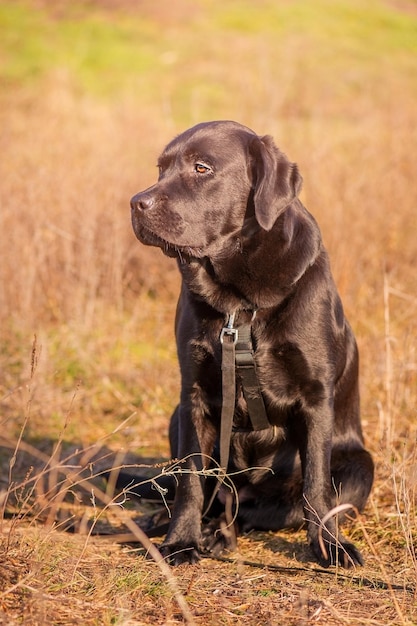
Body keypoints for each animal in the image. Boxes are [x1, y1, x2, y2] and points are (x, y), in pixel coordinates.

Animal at [128, 120, 372, 564]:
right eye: (161, 168)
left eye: (202, 168)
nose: (137, 203)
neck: (239, 304)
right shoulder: (194, 396)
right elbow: (191, 479)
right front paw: (181, 541)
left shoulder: (315, 397)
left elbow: (316, 485)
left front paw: (329, 546)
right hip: (175, 418)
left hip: (361, 466)